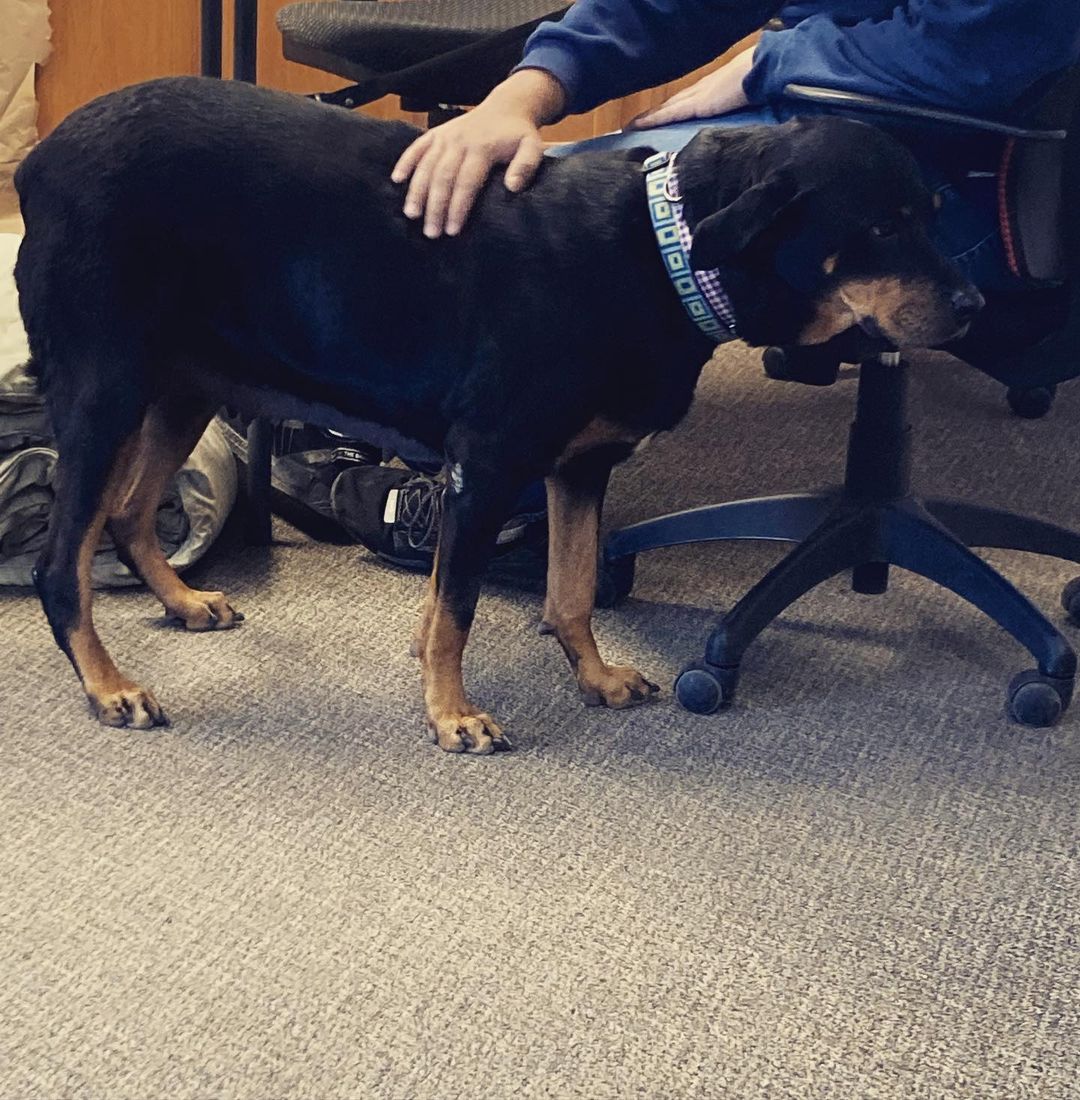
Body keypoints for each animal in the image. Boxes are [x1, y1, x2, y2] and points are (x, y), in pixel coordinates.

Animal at [12, 75, 985, 748]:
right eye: (884, 226)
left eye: (936, 210)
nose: (976, 304)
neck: (663, 252)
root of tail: (38, 163)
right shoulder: (486, 463)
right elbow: (459, 608)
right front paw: (451, 715)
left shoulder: (580, 465)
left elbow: (571, 590)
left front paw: (594, 678)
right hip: (105, 388)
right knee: (63, 562)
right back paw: (108, 687)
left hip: (186, 384)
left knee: (130, 515)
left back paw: (182, 602)